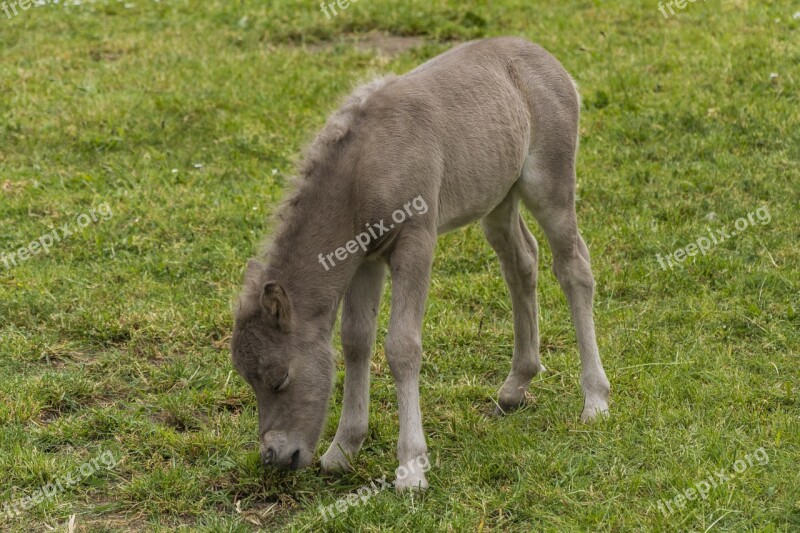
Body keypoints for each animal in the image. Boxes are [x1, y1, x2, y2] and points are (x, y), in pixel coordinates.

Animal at [231, 36, 612, 490]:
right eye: (248, 379)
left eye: (280, 378)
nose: (275, 456)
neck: (362, 169)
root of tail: (547, 59)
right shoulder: (364, 259)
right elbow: (356, 341)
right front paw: (343, 449)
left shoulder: (415, 241)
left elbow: (402, 346)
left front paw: (411, 468)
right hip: (498, 199)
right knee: (522, 262)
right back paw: (515, 386)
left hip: (548, 185)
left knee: (574, 268)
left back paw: (595, 399)